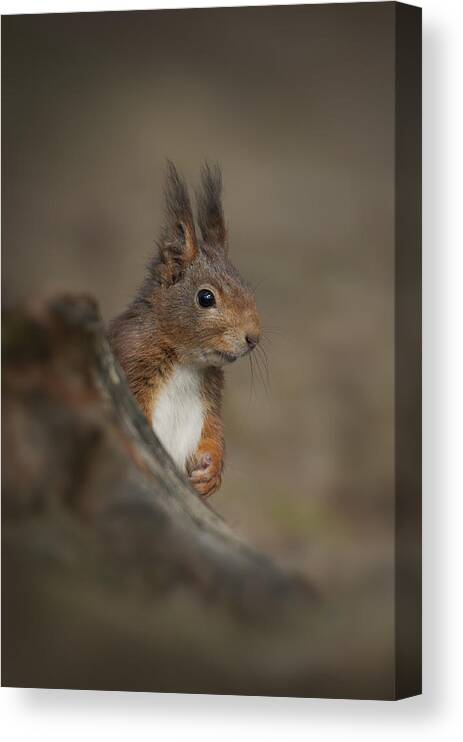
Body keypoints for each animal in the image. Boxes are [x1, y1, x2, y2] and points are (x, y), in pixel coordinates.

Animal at [108, 164, 260, 500]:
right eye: (205, 297)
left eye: (247, 286)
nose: (254, 338)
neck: (186, 362)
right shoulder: (130, 363)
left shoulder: (208, 401)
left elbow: (214, 432)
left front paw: (211, 472)